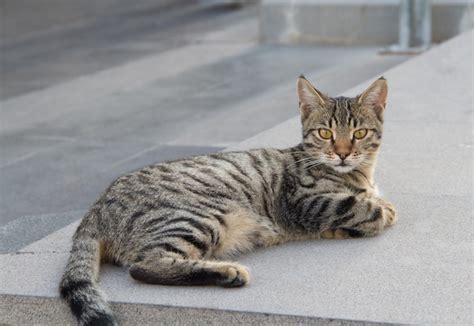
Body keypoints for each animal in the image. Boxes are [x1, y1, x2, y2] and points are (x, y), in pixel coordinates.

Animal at [61, 76, 398, 324]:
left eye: (359, 133)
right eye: (325, 133)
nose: (342, 153)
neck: (359, 175)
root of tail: (95, 208)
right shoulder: (304, 203)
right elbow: (369, 211)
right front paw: (373, 210)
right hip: (198, 217)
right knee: (144, 265)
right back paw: (227, 272)